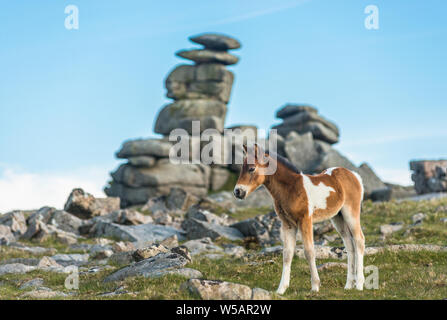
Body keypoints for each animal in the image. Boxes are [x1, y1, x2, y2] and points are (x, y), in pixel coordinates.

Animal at [233, 146, 366, 294]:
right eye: (241, 167)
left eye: (251, 168)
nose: (237, 191)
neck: (292, 188)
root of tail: (354, 175)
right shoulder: (288, 224)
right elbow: (287, 254)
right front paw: (281, 289)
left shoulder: (305, 220)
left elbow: (309, 251)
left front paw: (315, 286)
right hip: (338, 217)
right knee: (349, 245)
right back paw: (348, 285)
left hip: (350, 213)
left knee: (359, 240)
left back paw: (359, 285)